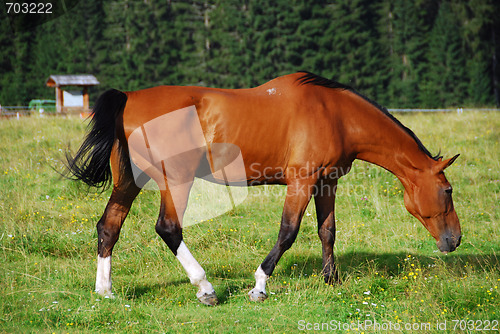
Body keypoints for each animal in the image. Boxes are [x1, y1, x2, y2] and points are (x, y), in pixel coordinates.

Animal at [66, 71, 460, 306]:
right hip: (176, 182)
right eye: (448, 191)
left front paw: (331, 280)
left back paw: (105, 291)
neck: (335, 113)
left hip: (127, 182)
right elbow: (288, 233)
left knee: (108, 227)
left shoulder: (327, 181)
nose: (454, 240)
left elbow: (327, 231)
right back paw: (205, 288)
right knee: (168, 228)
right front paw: (259, 285)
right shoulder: (301, 182)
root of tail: (128, 97)